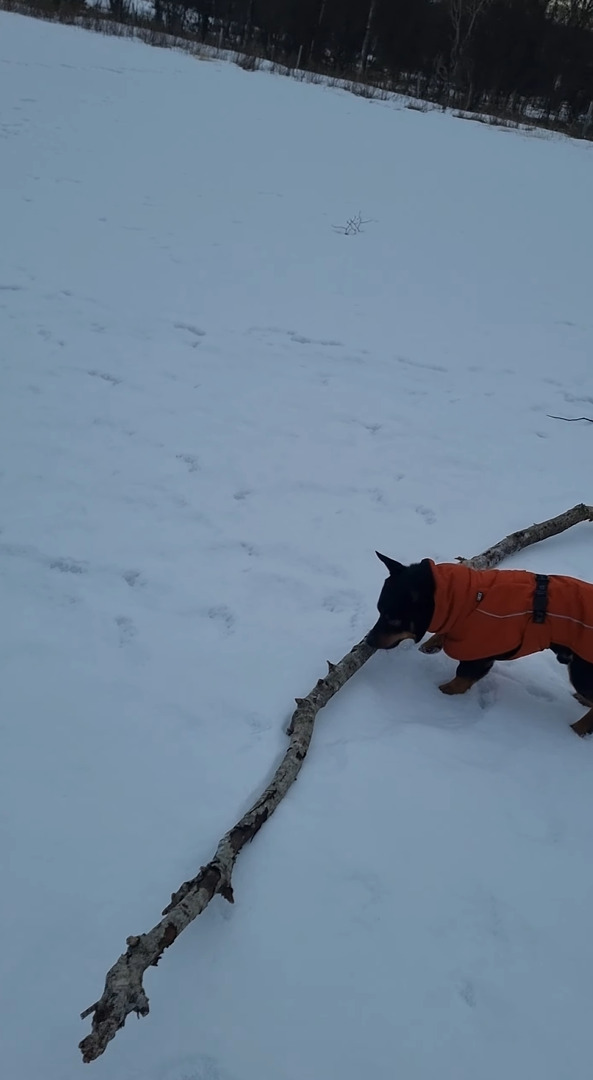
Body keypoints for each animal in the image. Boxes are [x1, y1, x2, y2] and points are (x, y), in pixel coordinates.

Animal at [365, 552, 591, 738]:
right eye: (379, 611)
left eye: (392, 619)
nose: (368, 641)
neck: (469, 601)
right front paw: (434, 642)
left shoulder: (479, 658)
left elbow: (458, 682)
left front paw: (439, 697)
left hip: (581, 670)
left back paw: (577, 729)